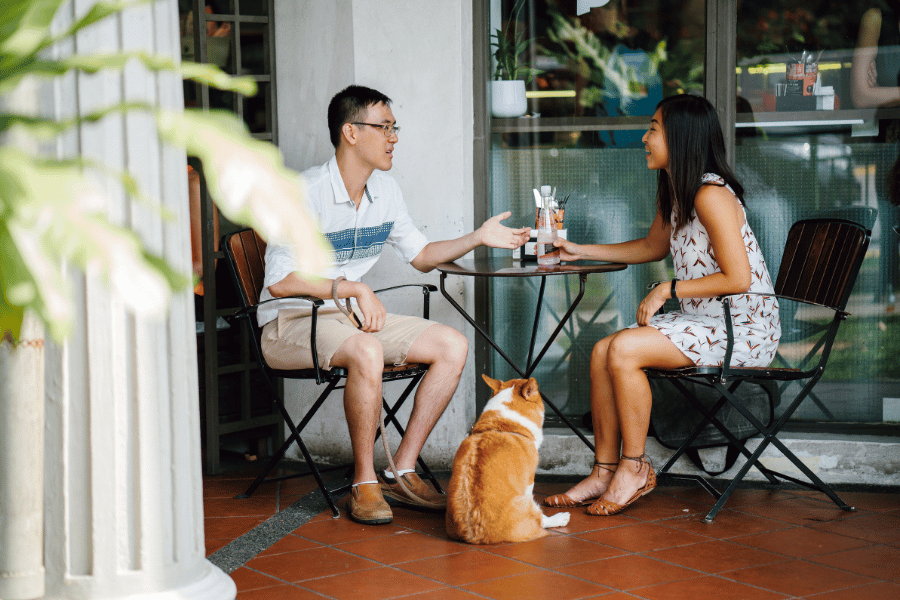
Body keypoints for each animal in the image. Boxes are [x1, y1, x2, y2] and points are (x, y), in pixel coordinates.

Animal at [448, 378, 572, 548]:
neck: (504, 425)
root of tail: (478, 537)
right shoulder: (529, 481)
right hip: (527, 502)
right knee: (539, 520)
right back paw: (560, 518)